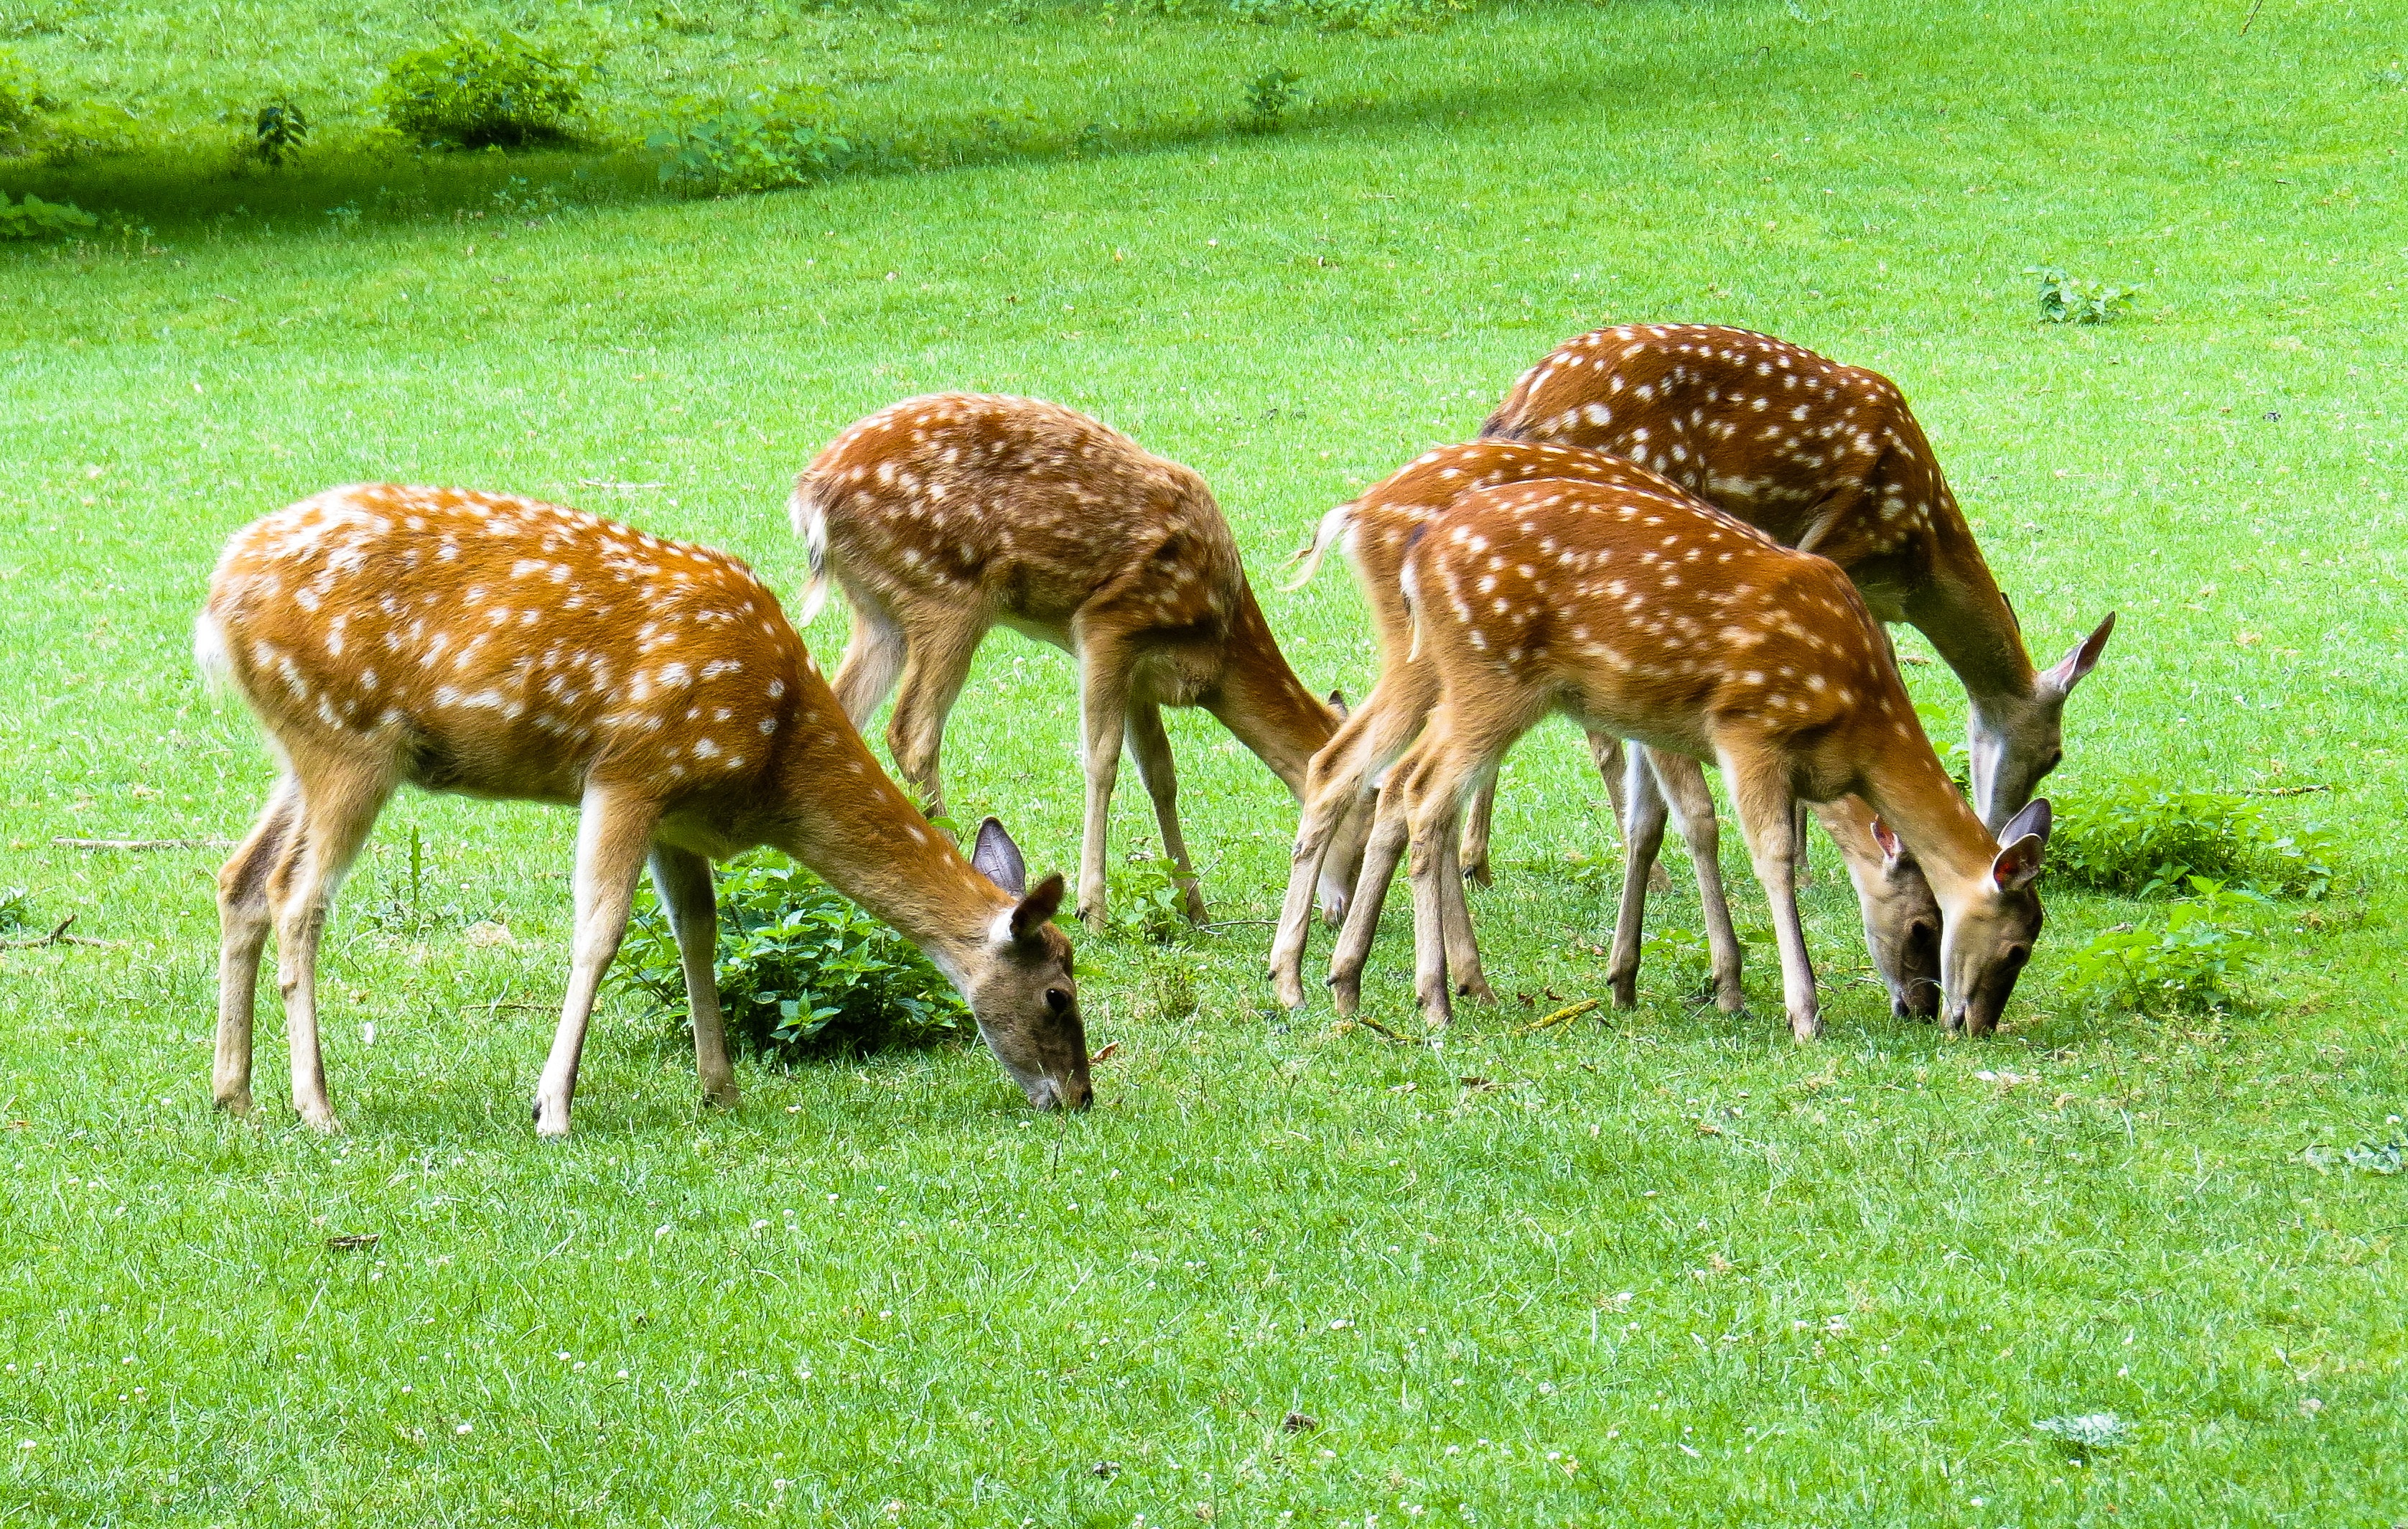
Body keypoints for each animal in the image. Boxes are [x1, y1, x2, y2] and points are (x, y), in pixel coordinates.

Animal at [200, 483, 1093, 1141]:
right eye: (1059, 994)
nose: (1081, 1095)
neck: (772, 763)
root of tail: (215, 603)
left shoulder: (677, 809)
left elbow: (698, 929)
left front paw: (721, 1088)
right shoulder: (631, 770)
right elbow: (600, 931)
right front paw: (552, 1107)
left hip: (307, 748)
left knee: (240, 875)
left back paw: (233, 1094)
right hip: (349, 740)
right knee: (296, 894)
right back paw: (317, 1106)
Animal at [790, 387, 1358, 929]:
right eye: (1366, 803)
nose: (1343, 908)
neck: (1216, 645)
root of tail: (811, 494)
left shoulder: (1142, 674)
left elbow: (1161, 773)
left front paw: (1193, 906)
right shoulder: (1110, 623)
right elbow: (1102, 760)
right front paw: (1093, 910)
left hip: (878, 611)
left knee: (843, 712)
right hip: (946, 594)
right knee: (912, 731)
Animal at [1261, 440, 1936, 1016]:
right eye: (1923, 925)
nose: (1926, 1006)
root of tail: (1354, 514)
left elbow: (1648, 823)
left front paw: (1629, 974)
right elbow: (1697, 818)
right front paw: (1727, 982)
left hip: (1428, 670)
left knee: (1355, 768)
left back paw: (1337, 977)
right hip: (1450, 669)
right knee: (1407, 783)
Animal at [1473, 325, 2119, 847]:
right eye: (2056, 753)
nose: (2002, 826)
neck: (1915, 564)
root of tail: (1517, 407)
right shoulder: (1836, 543)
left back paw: (1478, 861)